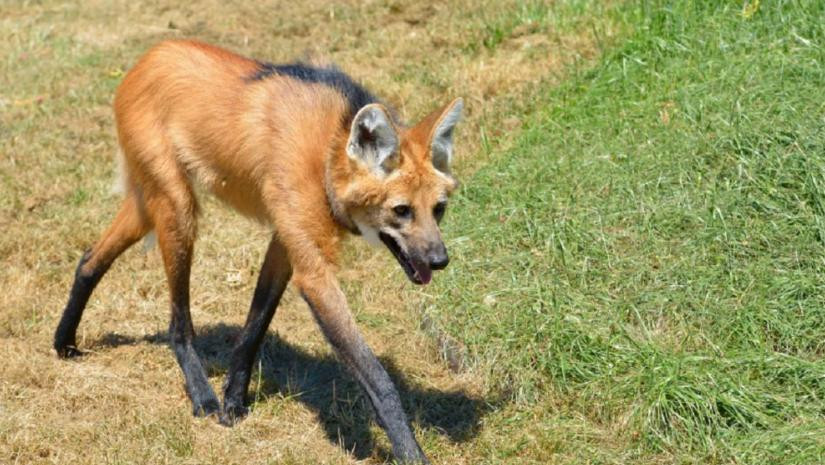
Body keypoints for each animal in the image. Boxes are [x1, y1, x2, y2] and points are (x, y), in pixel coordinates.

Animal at [53, 39, 464, 460]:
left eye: (438, 209)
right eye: (401, 211)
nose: (439, 260)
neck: (326, 153)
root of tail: (149, 55)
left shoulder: (285, 240)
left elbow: (255, 324)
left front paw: (234, 401)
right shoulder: (313, 272)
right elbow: (377, 378)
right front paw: (411, 453)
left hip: (149, 205)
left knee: (90, 258)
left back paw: (64, 340)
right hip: (177, 209)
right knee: (178, 321)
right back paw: (201, 395)